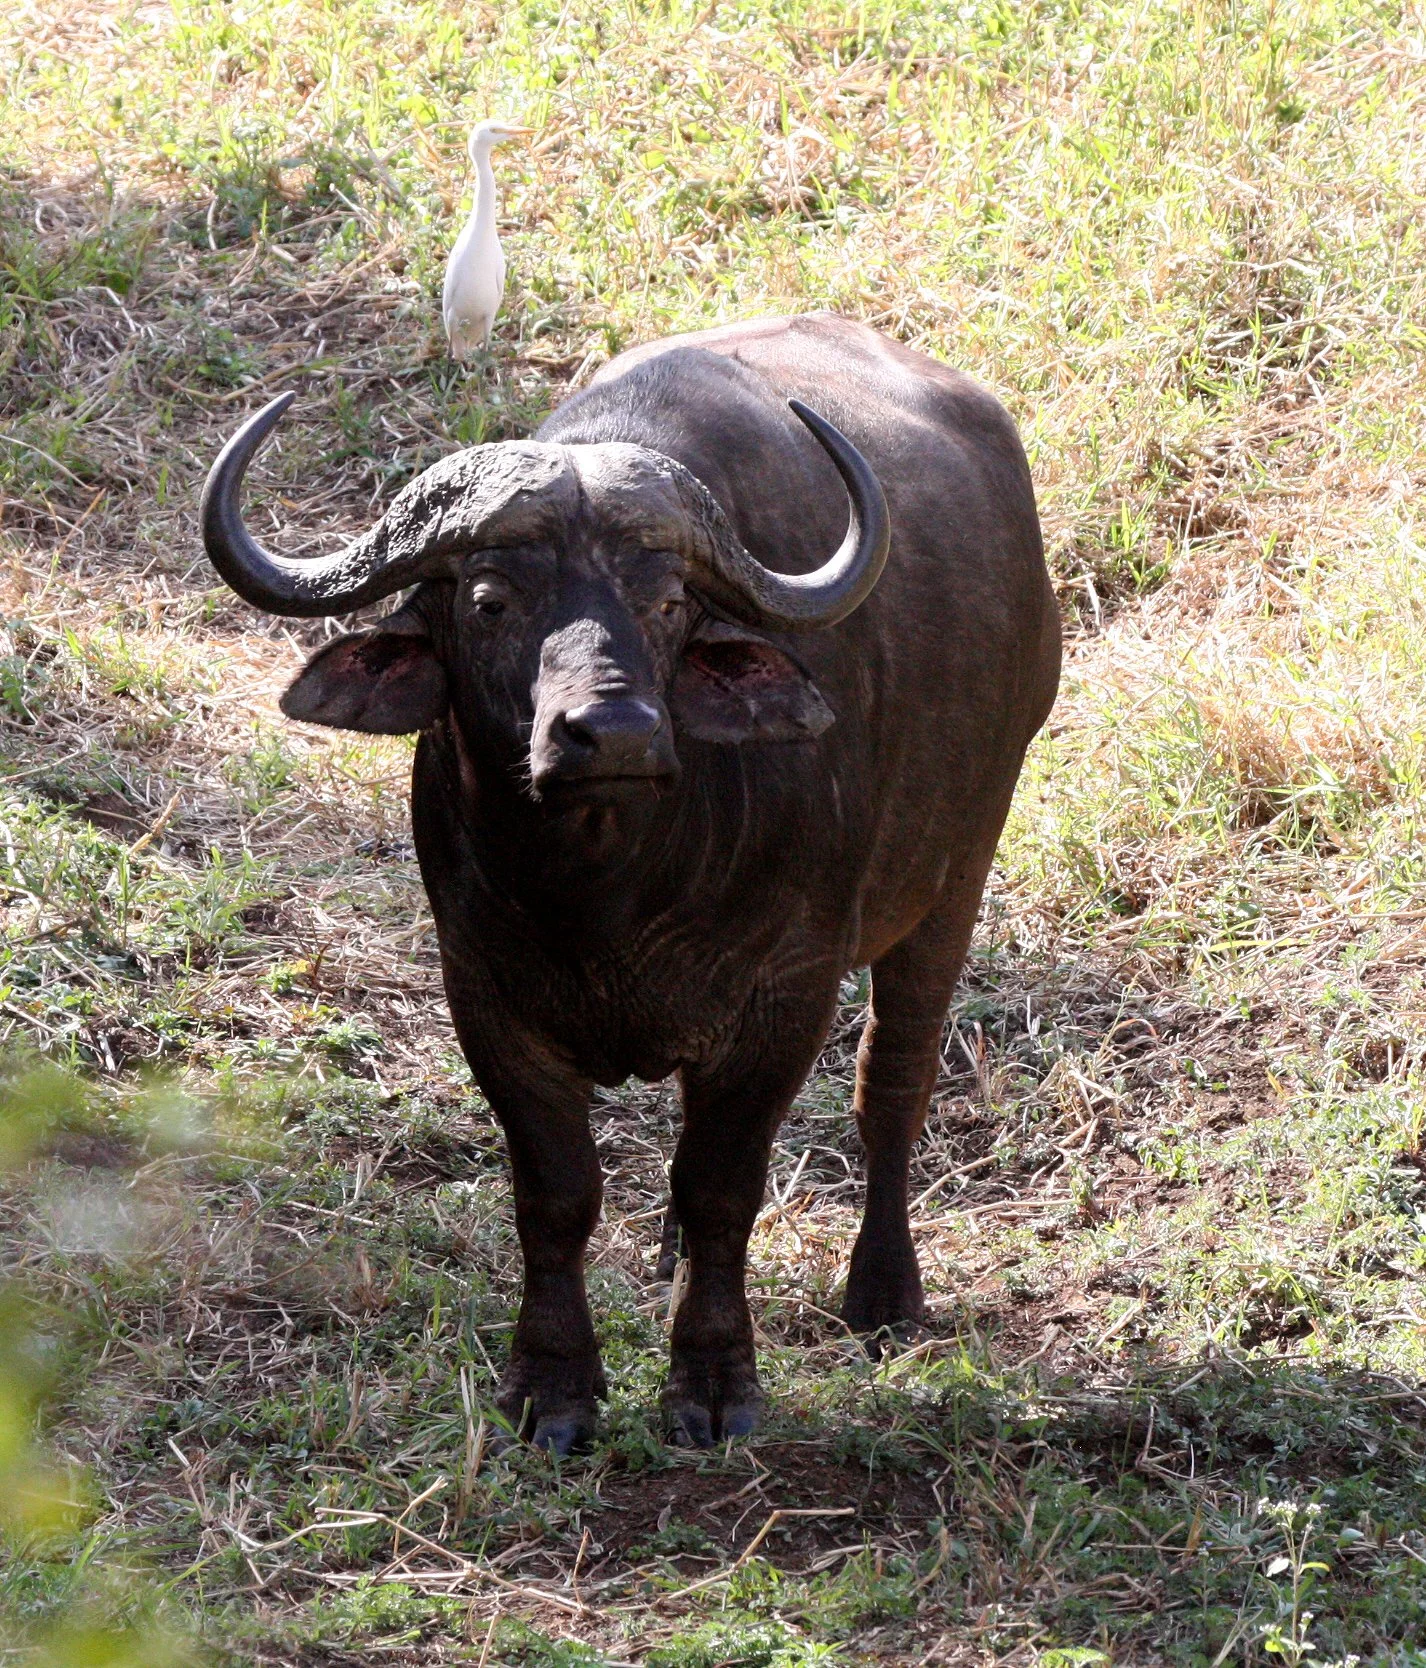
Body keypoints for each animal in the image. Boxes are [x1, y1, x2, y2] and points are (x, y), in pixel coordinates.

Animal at [201, 313, 1060, 1453]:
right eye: (490, 599)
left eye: (663, 601)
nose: (611, 731)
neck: (609, 888)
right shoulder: (485, 993)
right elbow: (558, 1196)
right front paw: (553, 1388)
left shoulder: (784, 996)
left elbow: (721, 1187)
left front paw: (713, 1383)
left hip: (959, 869)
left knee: (895, 1080)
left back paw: (882, 1293)